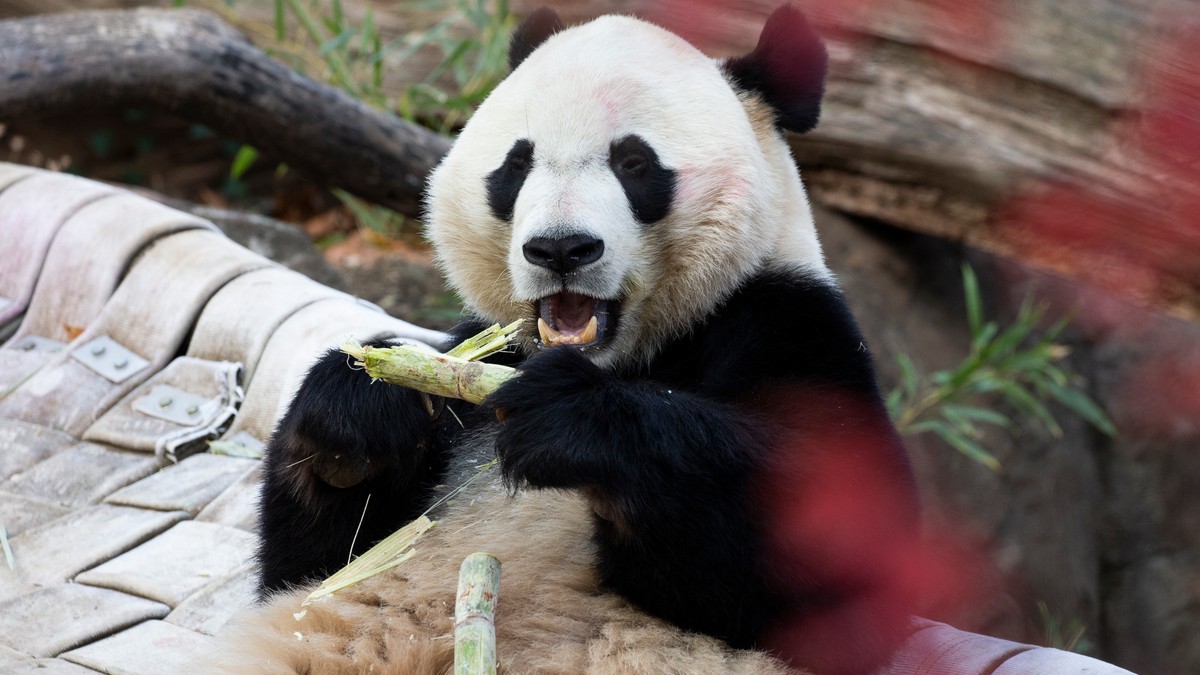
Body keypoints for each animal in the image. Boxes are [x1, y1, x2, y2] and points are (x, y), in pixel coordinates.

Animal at [230, 5, 921, 675]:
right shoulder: (484, 365)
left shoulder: (784, 321)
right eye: (516, 164)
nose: (561, 248)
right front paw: (363, 409)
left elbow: (839, 567)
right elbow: (319, 567)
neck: (628, 354)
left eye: (634, 163)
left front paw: (574, 420)